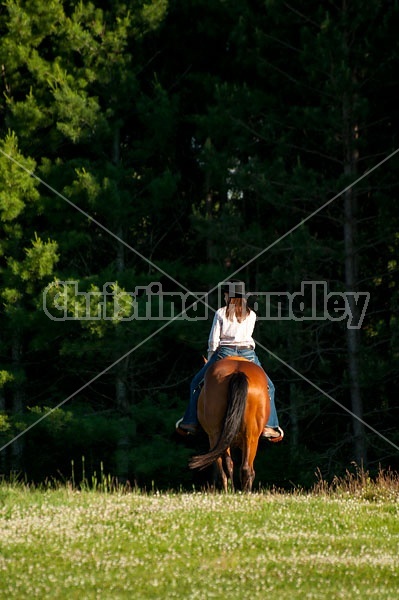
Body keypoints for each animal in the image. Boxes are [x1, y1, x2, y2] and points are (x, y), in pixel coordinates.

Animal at [189, 356, 270, 492]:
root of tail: (238, 372)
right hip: (249, 436)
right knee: (244, 467)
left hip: (218, 434)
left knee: (229, 465)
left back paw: (231, 491)